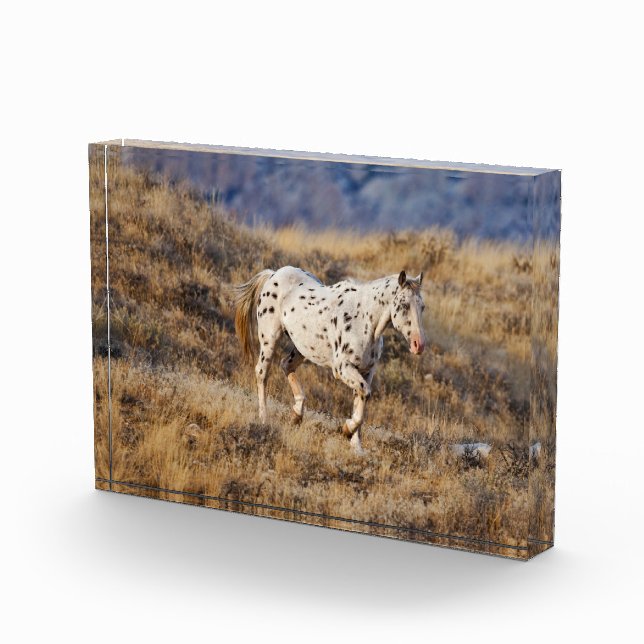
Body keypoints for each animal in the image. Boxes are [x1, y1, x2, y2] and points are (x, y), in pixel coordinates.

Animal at [233, 266, 427, 453]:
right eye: (403, 305)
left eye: (422, 307)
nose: (419, 345)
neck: (364, 320)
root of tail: (274, 274)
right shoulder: (343, 368)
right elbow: (365, 394)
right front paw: (346, 430)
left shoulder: (367, 371)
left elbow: (360, 401)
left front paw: (356, 447)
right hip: (269, 339)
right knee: (262, 373)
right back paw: (264, 419)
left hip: (302, 348)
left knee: (286, 365)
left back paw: (297, 414)